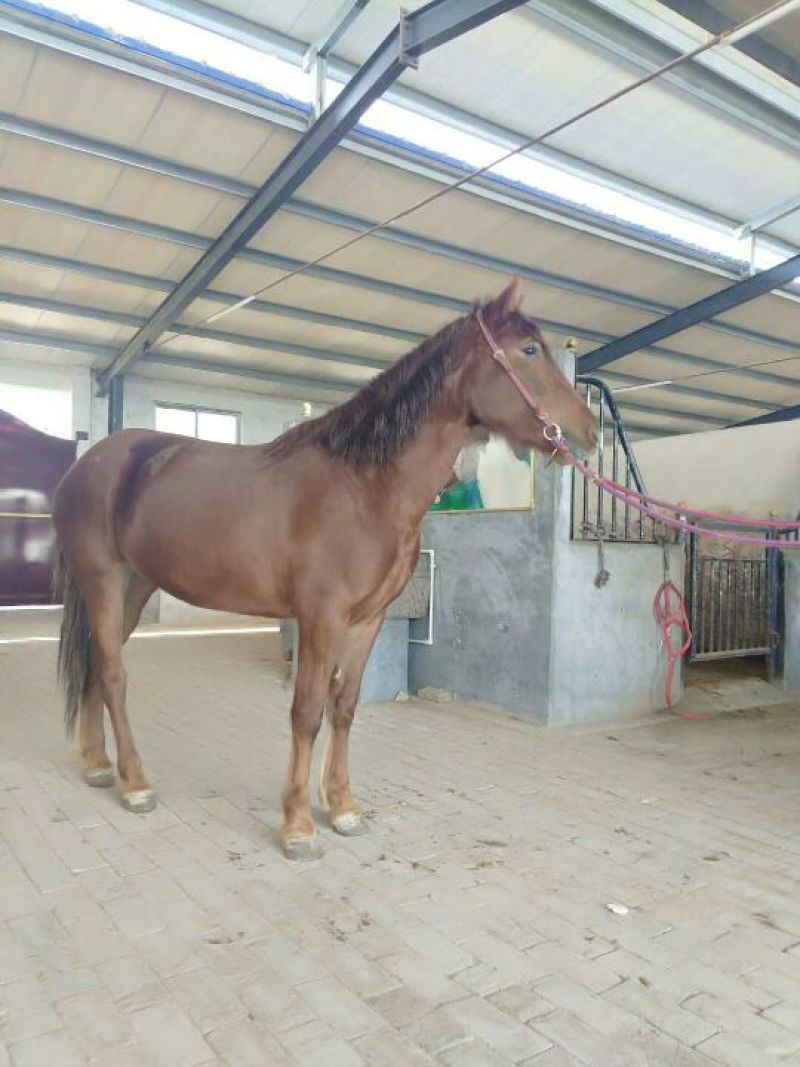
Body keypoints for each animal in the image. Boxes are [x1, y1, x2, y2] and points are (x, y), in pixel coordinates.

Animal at [52, 278, 597, 858]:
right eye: (529, 350)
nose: (589, 433)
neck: (365, 486)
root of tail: (88, 464)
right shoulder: (320, 617)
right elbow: (307, 711)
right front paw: (298, 825)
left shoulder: (367, 620)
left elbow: (345, 706)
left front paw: (341, 807)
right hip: (104, 580)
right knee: (113, 672)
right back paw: (135, 783)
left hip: (134, 587)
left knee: (97, 663)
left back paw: (98, 764)